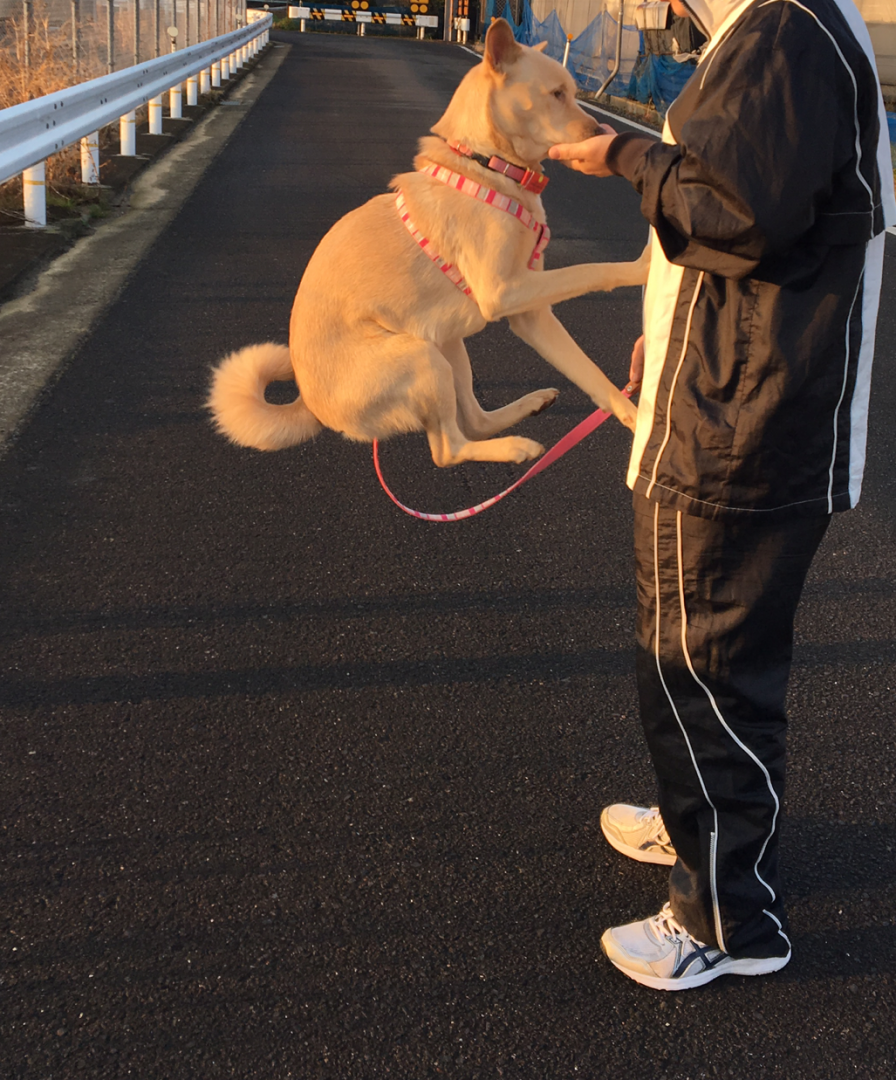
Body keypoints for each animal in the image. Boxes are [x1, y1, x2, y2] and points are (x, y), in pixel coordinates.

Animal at [207, 16, 647, 464]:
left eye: (575, 93)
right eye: (557, 94)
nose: (602, 134)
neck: (488, 166)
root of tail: (310, 405)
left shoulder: (531, 313)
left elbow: (592, 374)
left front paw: (636, 418)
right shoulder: (503, 292)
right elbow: (592, 270)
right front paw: (642, 267)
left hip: (449, 346)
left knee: (474, 420)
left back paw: (532, 406)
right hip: (423, 357)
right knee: (448, 449)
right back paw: (514, 447)